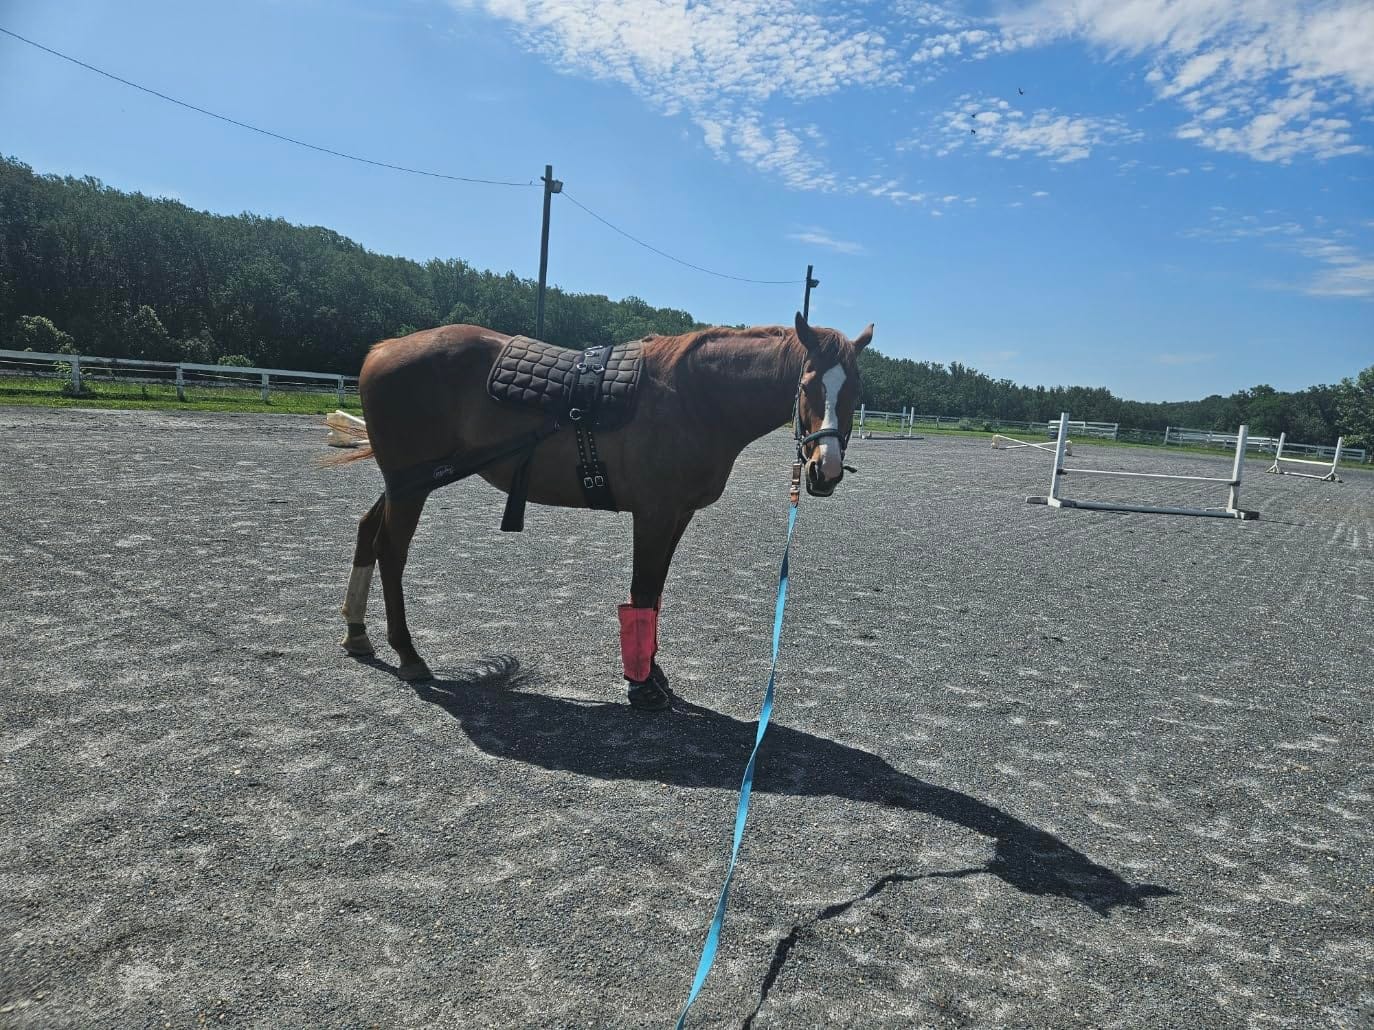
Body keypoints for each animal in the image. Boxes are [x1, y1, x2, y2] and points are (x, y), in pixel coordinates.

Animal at [332, 313, 872, 711]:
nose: (826, 470)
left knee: (367, 533)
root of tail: (384, 348)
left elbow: (655, 596)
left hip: (408, 483)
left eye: (855, 392)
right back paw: (408, 653)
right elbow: (643, 592)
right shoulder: (654, 514)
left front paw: (653, 676)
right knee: (390, 551)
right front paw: (642, 687)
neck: (693, 396)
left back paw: (357, 634)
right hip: (412, 486)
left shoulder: (676, 515)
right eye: (808, 385)